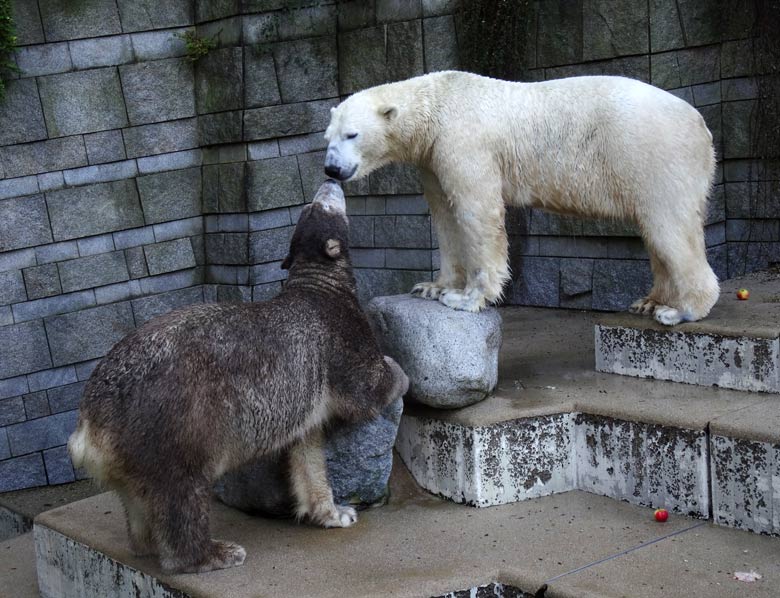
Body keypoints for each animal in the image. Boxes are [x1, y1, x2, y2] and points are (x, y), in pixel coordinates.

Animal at [68, 179, 408, 576]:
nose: (331, 181)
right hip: (171, 419)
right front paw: (398, 371)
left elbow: (306, 447)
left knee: (136, 498)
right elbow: (366, 389)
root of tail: (91, 423)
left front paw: (336, 512)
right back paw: (214, 553)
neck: (320, 285)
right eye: (322, 206)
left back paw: (146, 542)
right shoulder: (340, 333)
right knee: (181, 486)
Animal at [322, 71, 720, 328]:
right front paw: (432, 287)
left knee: (669, 227)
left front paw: (467, 298)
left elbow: (477, 211)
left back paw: (681, 310)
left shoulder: (464, 143)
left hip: (654, 156)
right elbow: (444, 216)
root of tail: (701, 124)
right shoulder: (432, 158)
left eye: (352, 134)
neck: (438, 105)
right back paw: (652, 301)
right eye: (328, 137)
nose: (331, 168)